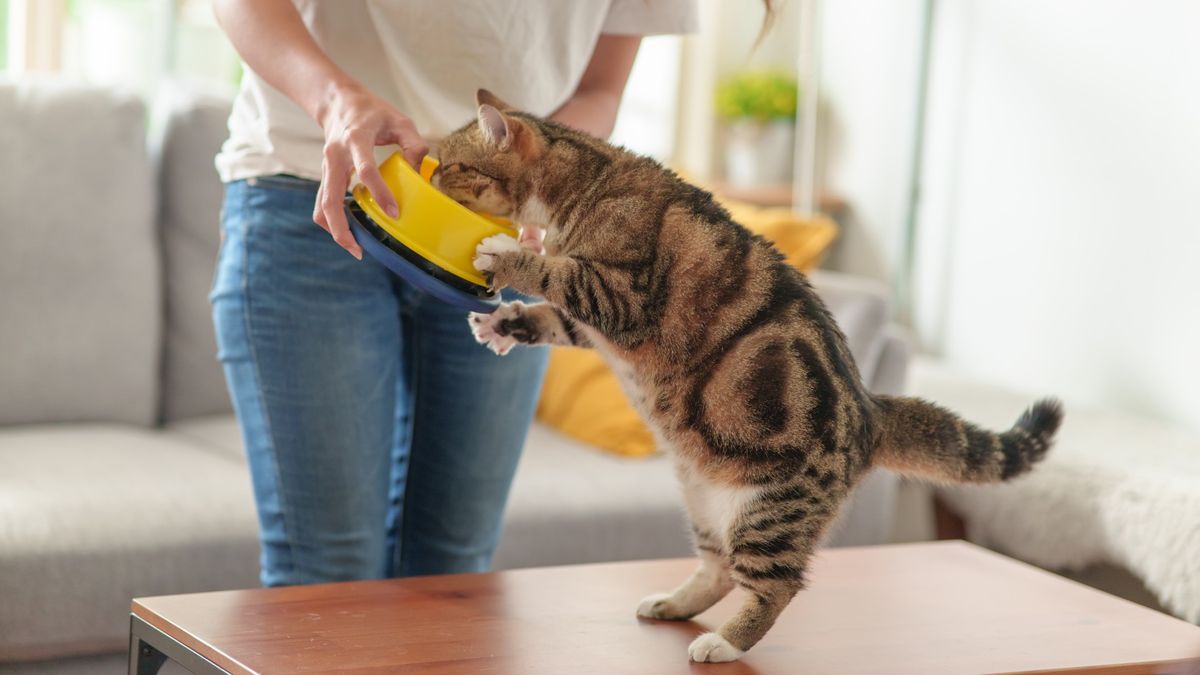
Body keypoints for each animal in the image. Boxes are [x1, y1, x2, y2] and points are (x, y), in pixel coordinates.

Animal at [432, 86, 1060, 658]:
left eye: (450, 164)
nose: (429, 175)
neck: (589, 181)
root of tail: (871, 410)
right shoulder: (595, 322)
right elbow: (554, 315)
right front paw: (505, 323)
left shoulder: (621, 296)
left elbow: (554, 274)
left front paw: (504, 255)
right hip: (703, 500)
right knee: (719, 570)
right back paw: (672, 604)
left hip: (769, 511)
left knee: (777, 585)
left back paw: (725, 643)